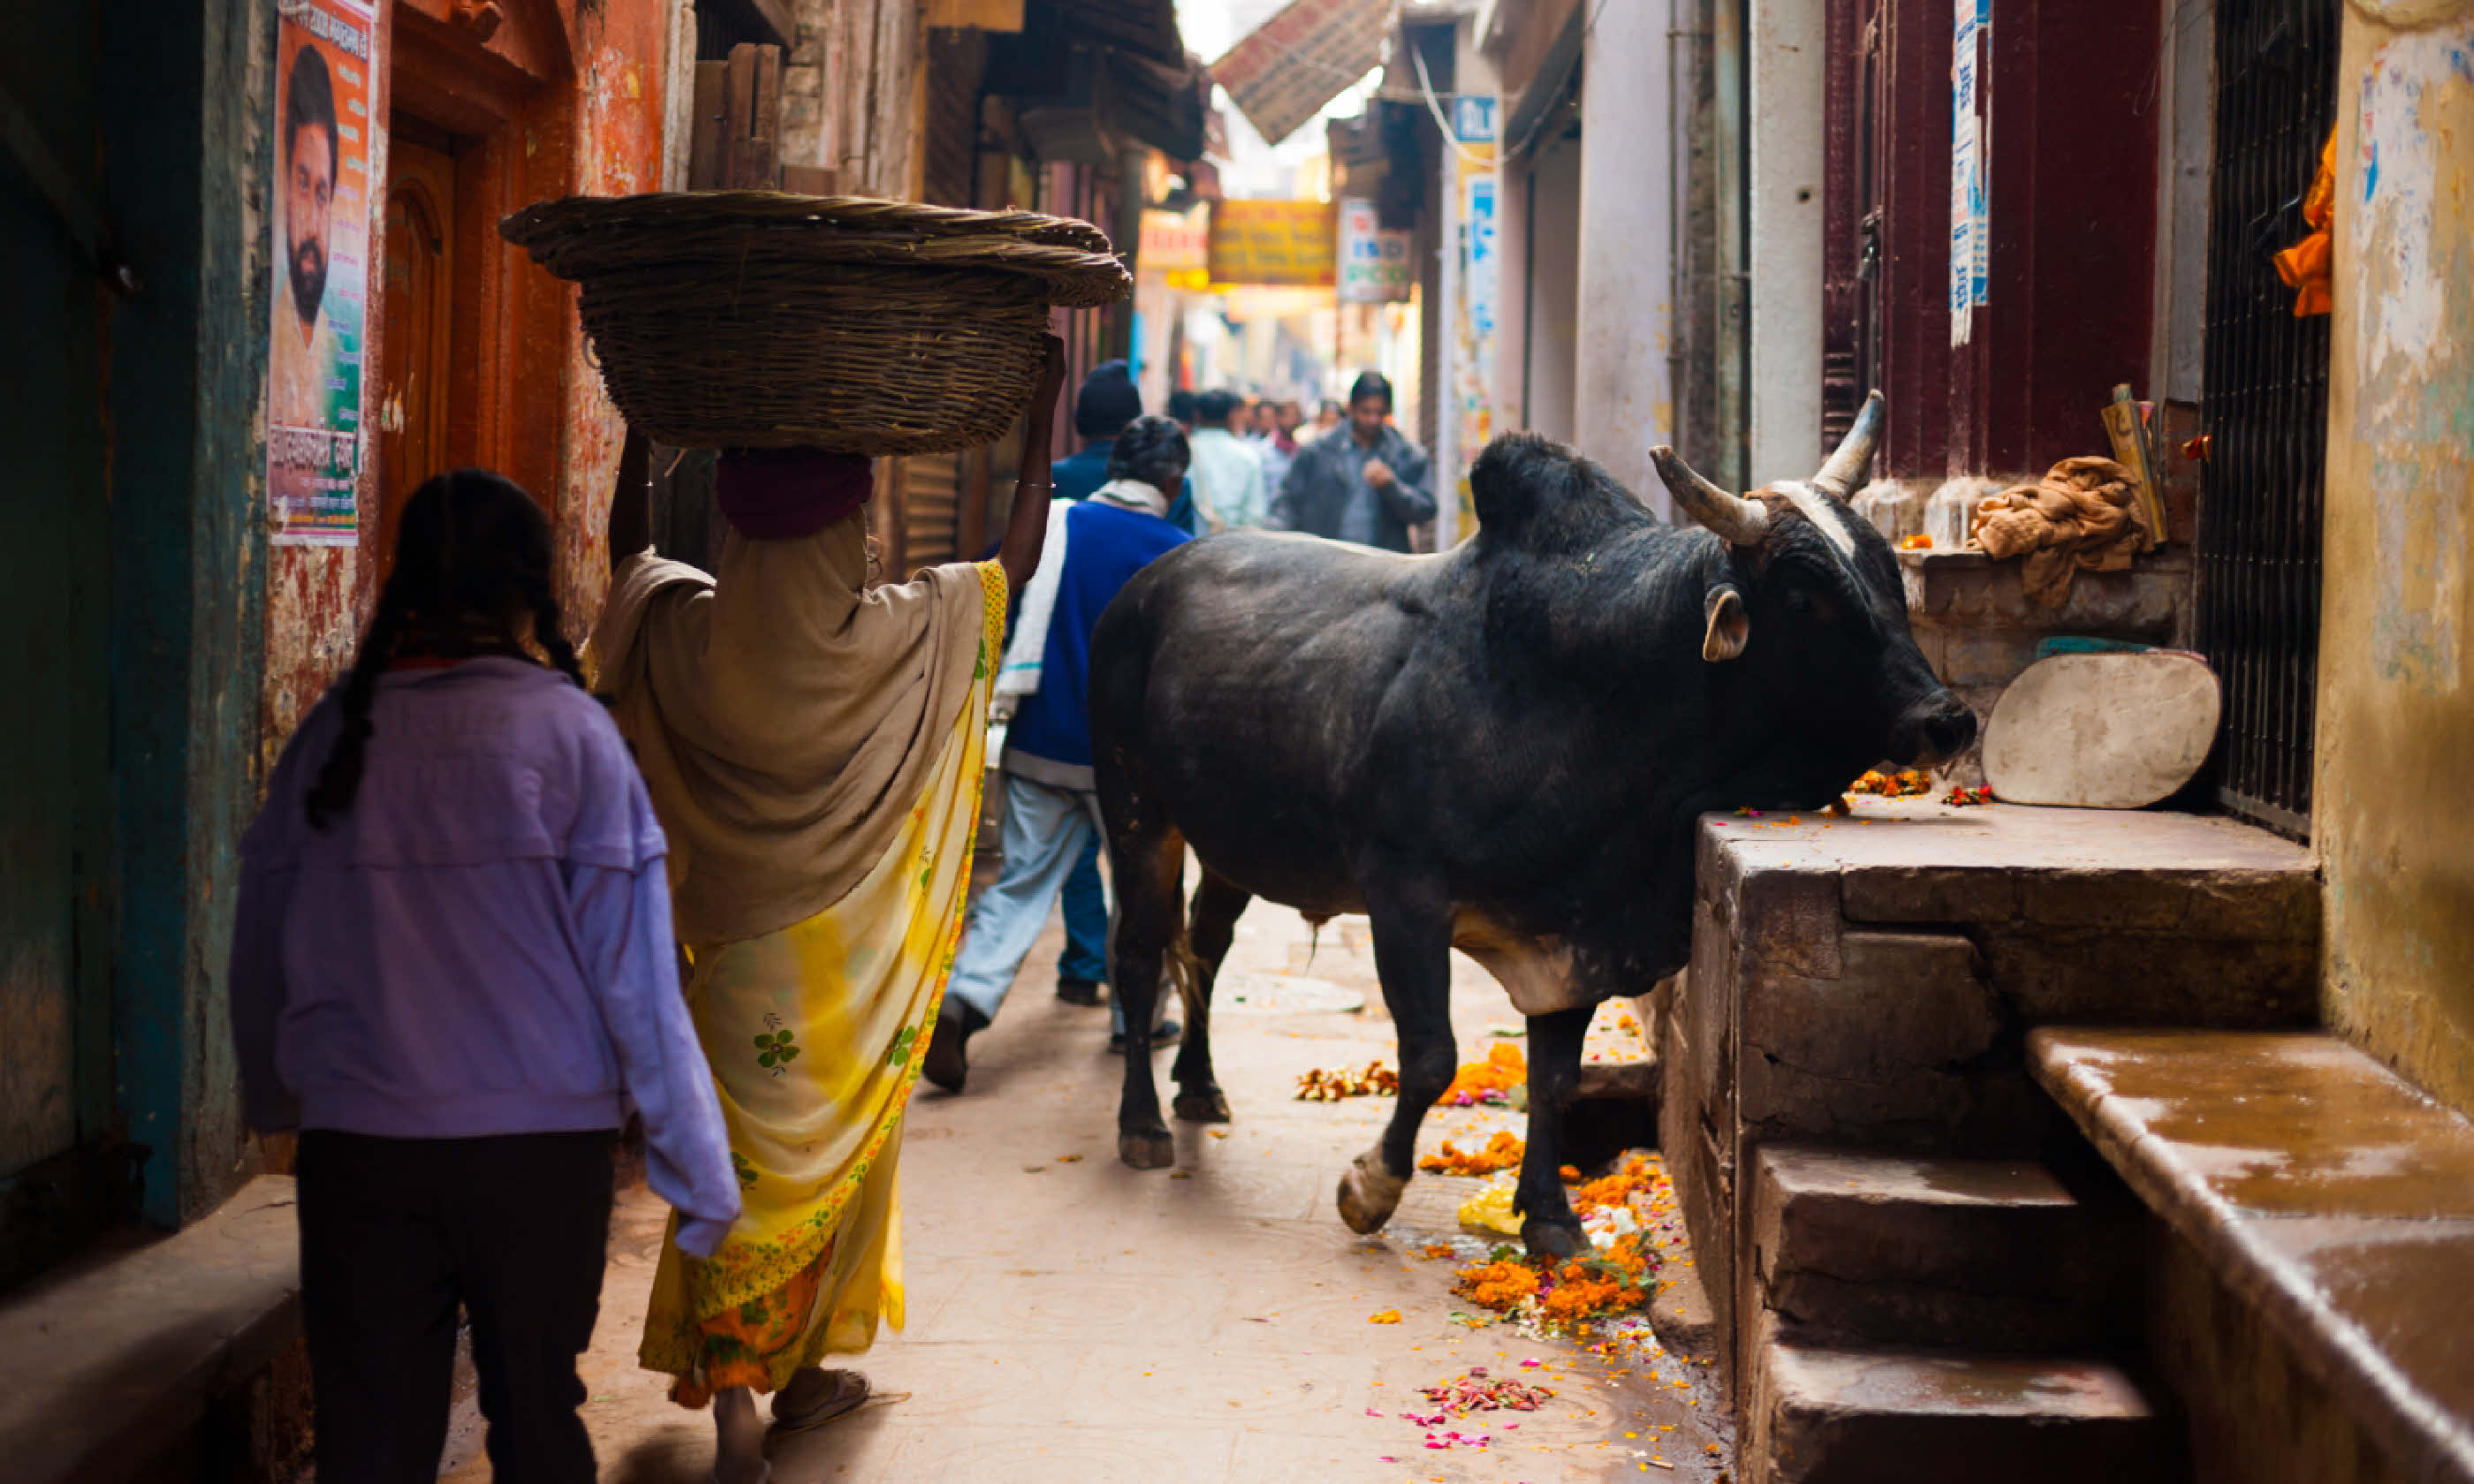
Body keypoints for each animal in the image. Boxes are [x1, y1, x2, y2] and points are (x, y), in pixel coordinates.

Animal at [1089, 400, 1969, 1256]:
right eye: (1802, 597)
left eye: (1887, 573)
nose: (1948, 720)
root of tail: (1149, 580)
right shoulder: (1404, 896)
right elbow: (1430, 1057)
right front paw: (1371, 1188)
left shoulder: (1573, 928)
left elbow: (1555, 1078)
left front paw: (1548, 1217)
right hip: (1136, 810)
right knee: (1139, 954)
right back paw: (1141, 1124)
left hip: (1226, 842)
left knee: (1204, 948)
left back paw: (1199, 1089)